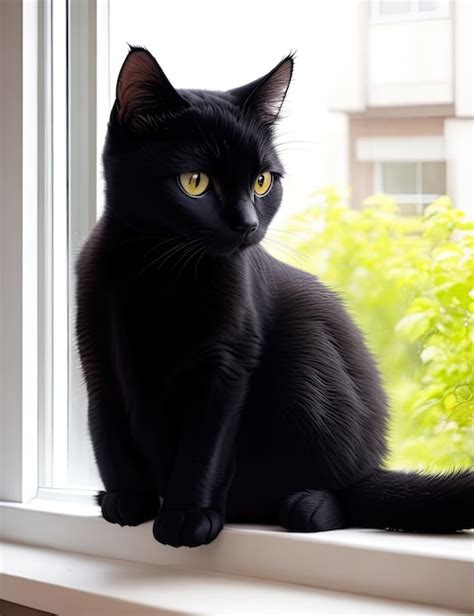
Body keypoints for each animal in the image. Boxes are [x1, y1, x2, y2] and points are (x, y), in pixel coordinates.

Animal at [76, 49, 472, 548]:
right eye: (194, 181)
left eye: (263, 181)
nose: (247, 223)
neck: (160, 274)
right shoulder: (97, 355)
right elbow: (108, 432)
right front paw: (127, 500)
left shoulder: (227, 363)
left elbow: (203, 447)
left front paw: (187, 517)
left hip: (310, 359)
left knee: (352, 493)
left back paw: (308, 505)